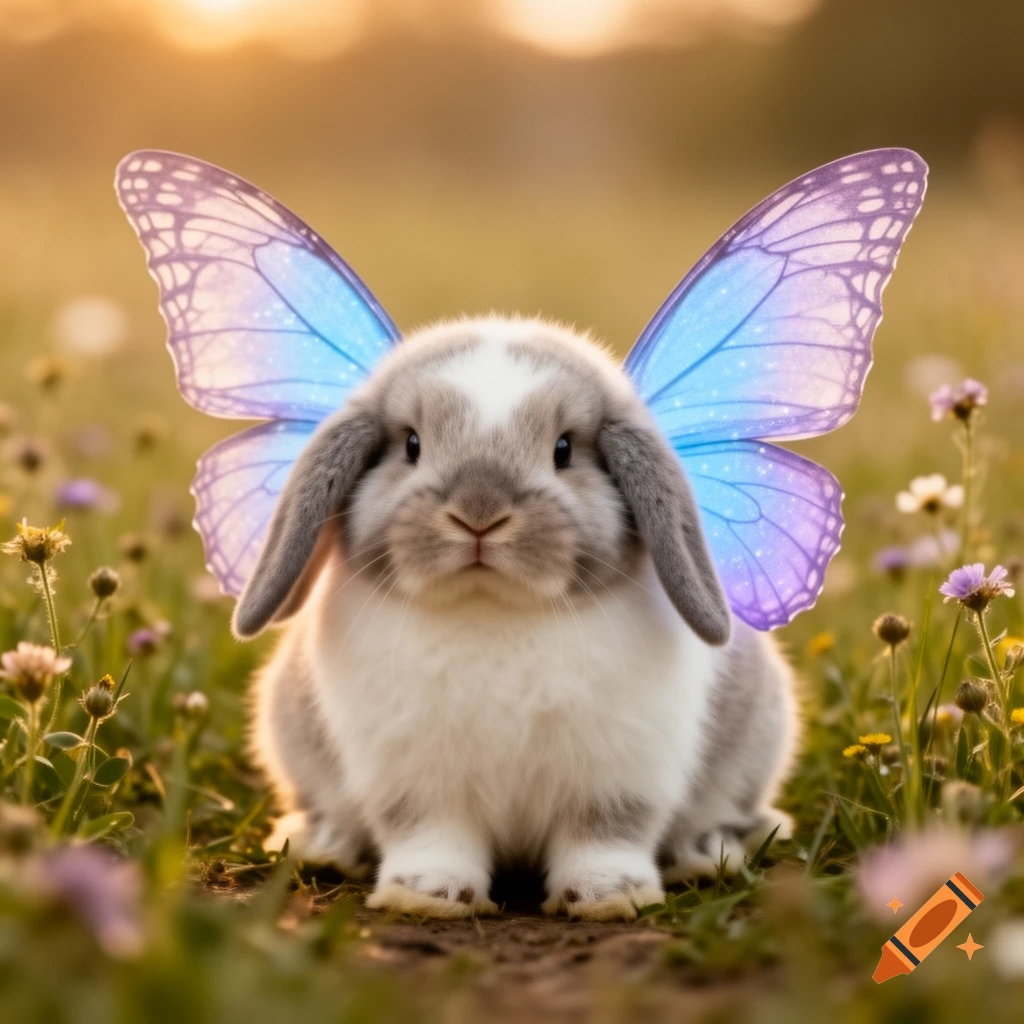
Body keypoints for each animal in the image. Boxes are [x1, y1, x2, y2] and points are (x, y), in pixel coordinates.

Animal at [237, 314, 800, 921]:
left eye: (564, 450)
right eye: (411, 444)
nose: (479, 512)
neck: (493, 610)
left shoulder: (619, 776)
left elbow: (606, 836)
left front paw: (608, 898)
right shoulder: (415, 780)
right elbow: (431, 836)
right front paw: (427, 897)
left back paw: (705, 854)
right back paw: (322, 845)